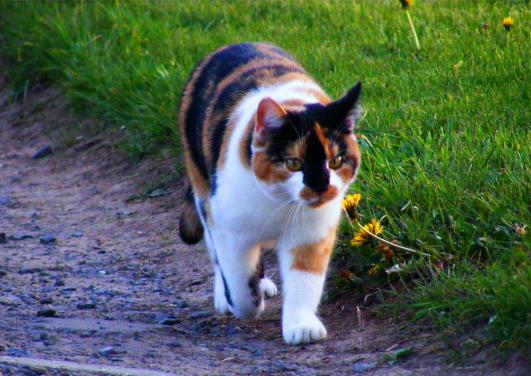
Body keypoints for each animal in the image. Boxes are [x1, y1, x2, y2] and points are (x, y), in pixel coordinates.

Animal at [179, 42, 362, 346]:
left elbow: (305, 279)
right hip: (201, 184)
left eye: (335, 161)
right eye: (293, 163)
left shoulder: (312, 231)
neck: (280, 204)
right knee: (216, 253)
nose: (321, 186)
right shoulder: (227, 227)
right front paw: (241, 301)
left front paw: (301, 326)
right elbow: (239, 286)